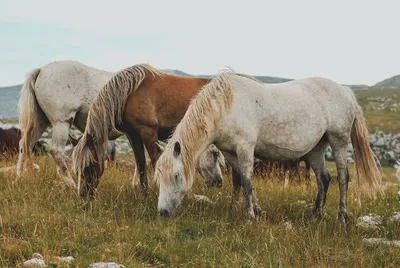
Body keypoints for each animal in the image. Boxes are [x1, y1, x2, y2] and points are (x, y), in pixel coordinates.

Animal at [72, 63, 225, 196]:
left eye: (89, 165)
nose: (83, 194)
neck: (130, 93)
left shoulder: (148, 133)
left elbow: (156, 162)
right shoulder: (133, 135)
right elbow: (141, 165)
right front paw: (144, 195)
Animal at [155, 72, 382, 223]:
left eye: (176, 176)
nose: (162, 212)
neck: (225, 106)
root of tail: (345, 90)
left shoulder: (245, 148)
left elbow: (247, 181)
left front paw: (249, 217)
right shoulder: (231, 153)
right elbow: (244, 181)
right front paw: (258, 212)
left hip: (339, 140)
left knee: (343, 177)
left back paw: (342, 217)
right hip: (317, 148)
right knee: (323, 178)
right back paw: (315, 216)